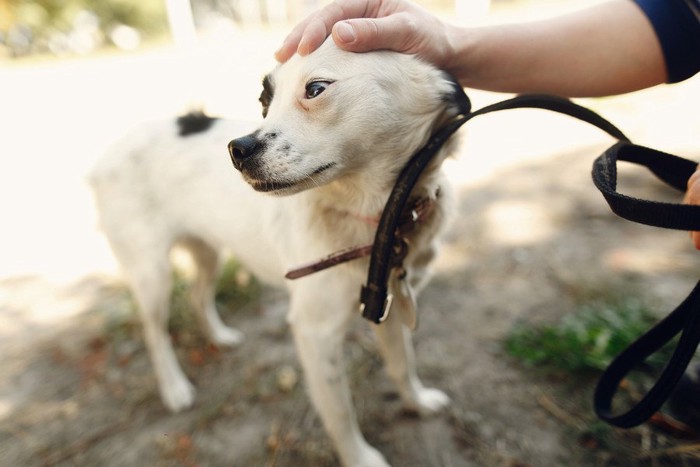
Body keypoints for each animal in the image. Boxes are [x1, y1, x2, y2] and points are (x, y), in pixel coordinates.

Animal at [90, 40, 468, 467]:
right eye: (264, 99)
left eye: (316, 89)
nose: (237, 150)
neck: (380, 218)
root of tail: (111, 149)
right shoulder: (315, 333)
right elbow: (340, 412)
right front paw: (360, 458)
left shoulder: (387, 303)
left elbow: (403, 364)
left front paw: (417, 401)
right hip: (152, 273)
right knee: (154, 332)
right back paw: (174, 387)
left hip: (209, 252)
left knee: (198, 295)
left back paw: (219, 337)